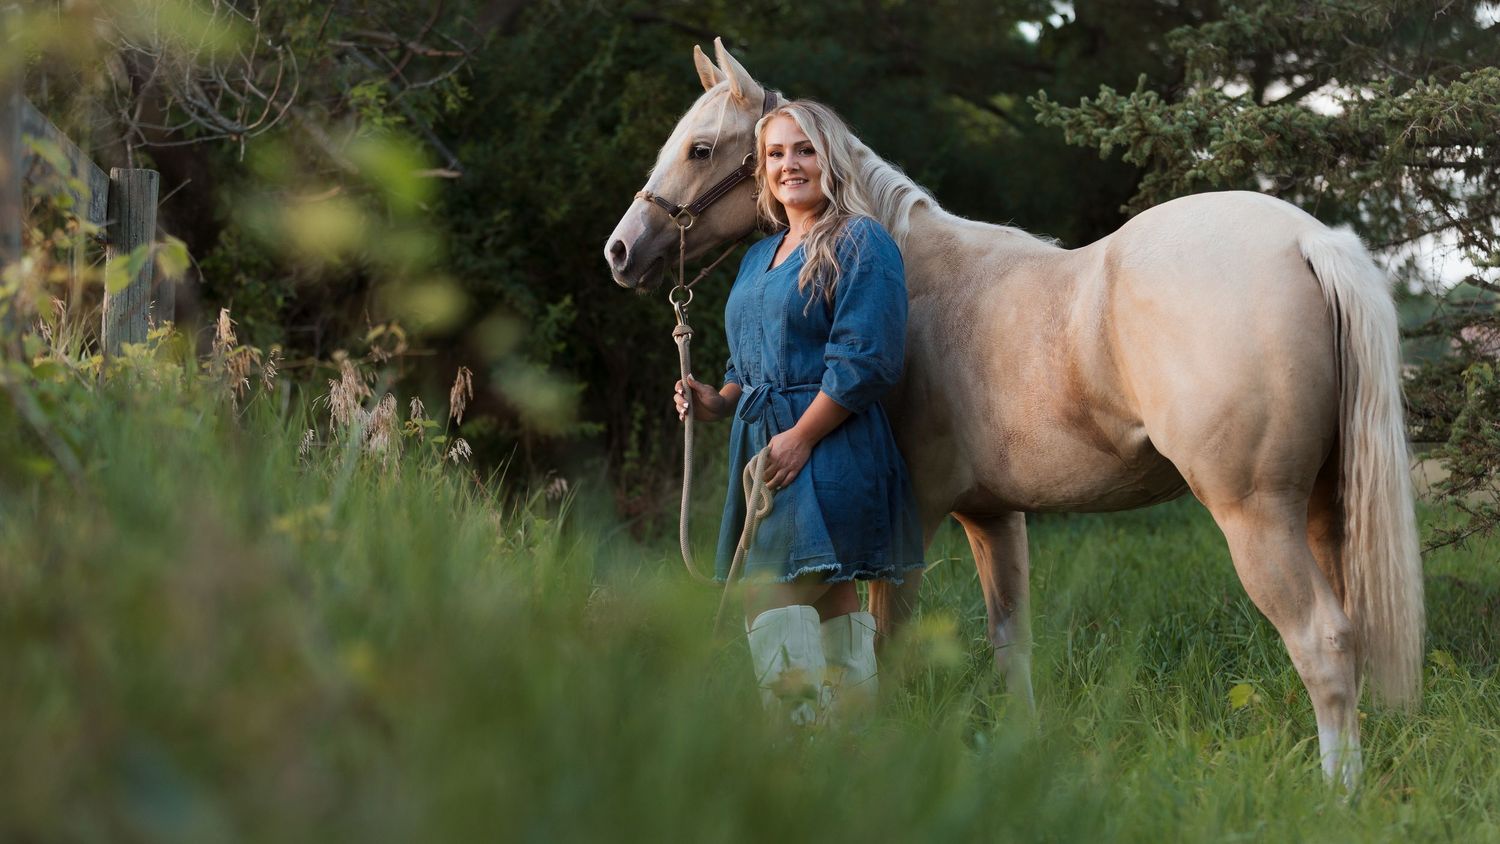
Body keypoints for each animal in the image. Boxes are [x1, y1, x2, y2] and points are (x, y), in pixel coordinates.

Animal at [604, 38, 1423, 789]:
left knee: (1321, 640)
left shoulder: (912, 515)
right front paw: (1024, 754)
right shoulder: (993, 516)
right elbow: (1010, 643)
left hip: (1255, 512)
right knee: (1352, 629)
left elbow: (888, 642)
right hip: (1324, 506)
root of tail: (1308, 240)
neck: (917, 275)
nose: (620, 251)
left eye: (701, 148)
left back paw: (1338, 794)